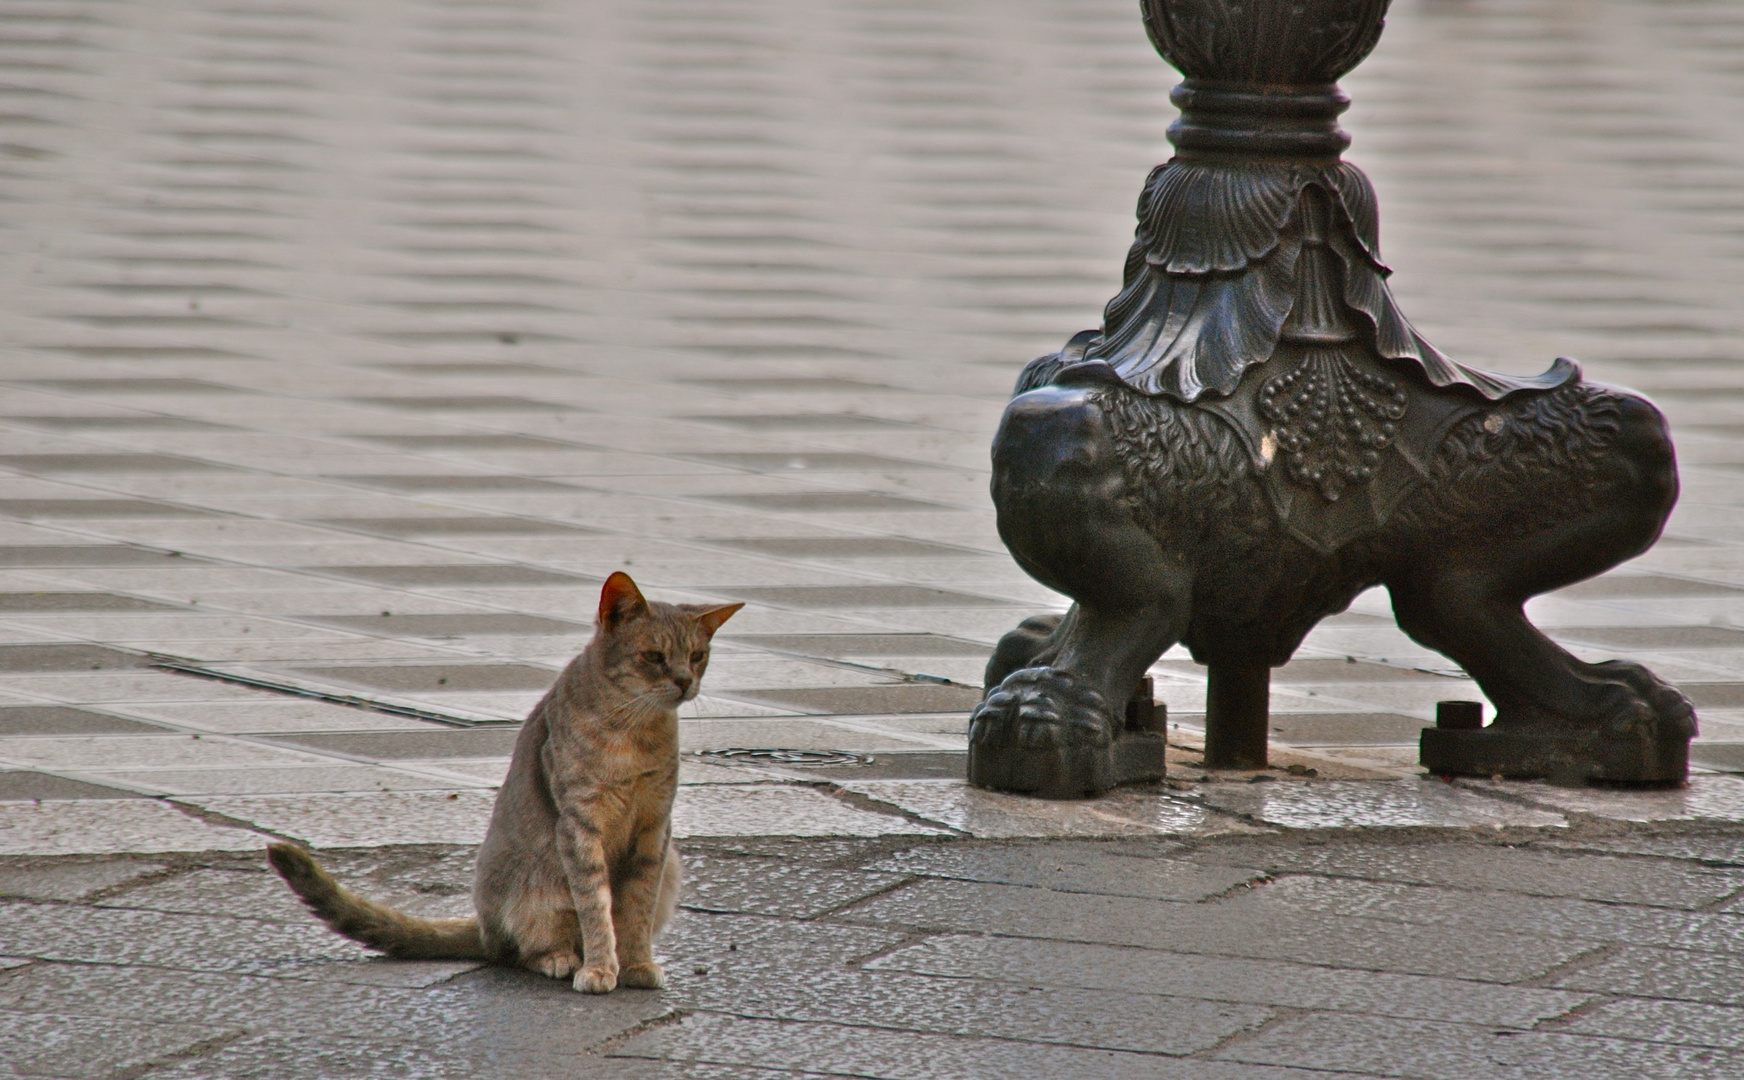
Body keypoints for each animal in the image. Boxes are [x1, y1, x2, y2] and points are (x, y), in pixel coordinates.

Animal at [266, 575, 742, 997]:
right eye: (654, 656)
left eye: (697, 656)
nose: (685, 681)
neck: (635, 732)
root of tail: (484, 927)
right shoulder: (579, 826)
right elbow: (596, 908)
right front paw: (600, 967)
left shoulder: (655, 829)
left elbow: (636, 909)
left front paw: (637, 963)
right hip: (541, 880)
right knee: (519, 951)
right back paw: (560, 959)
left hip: (670, 865)